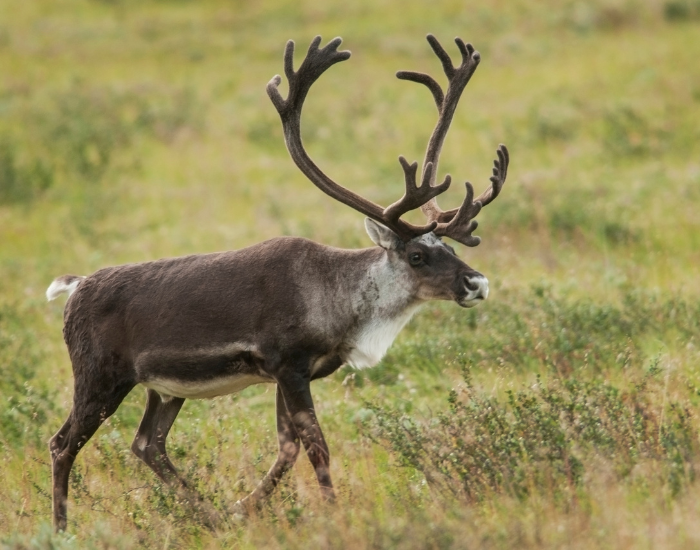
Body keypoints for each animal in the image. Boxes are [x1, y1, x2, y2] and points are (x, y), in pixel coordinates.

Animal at [46, 34, 509, 532]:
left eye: (450, 247)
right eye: (418, 255)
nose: (477, 282)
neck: (340, 303)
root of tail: (77, 286)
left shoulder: (288, 374)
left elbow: (287, 448)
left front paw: (243, 507)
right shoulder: (288, 365)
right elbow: (316, 446)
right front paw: (333, 514)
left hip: (162, 388)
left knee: (148, 444)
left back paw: (211, 515)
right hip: (99, 375)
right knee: (63, 444)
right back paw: (61, 528)